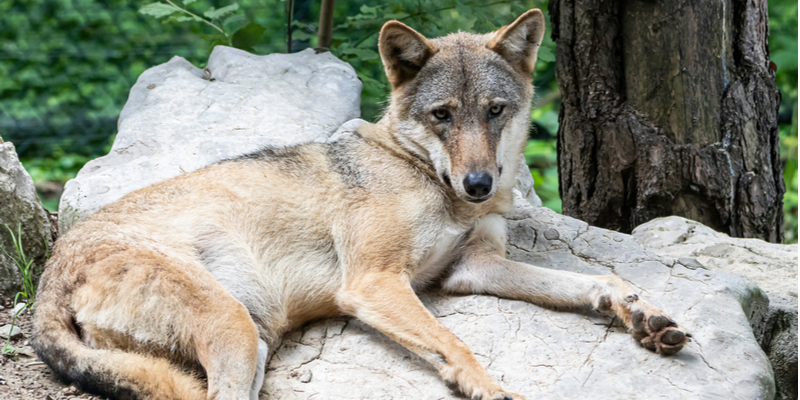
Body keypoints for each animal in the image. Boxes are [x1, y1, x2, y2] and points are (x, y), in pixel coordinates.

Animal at [31, 10, 692, 400]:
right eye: (442, 115)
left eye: (494, 112)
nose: (479, 184)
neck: (429, 181)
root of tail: (49, 275)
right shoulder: (373, 283)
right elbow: (455, 342)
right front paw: (489, 388)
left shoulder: (472, 269)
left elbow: (595, 280)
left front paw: (640, 311)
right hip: (236, 331)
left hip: (254, 340)